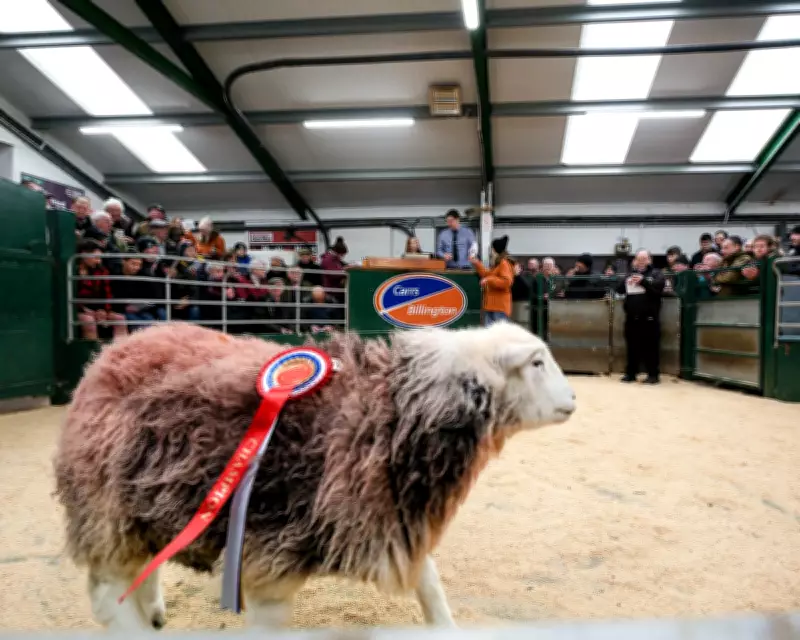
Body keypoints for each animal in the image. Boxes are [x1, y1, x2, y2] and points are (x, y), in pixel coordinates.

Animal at [53, 321, 576, 631]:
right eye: (536, 362)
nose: (574, 400)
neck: (394, 409)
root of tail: (108, 353)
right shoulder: (268, 558)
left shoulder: (391, 516)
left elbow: (430, 585)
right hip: (103, 506)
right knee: (106, 596)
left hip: (140, 502)